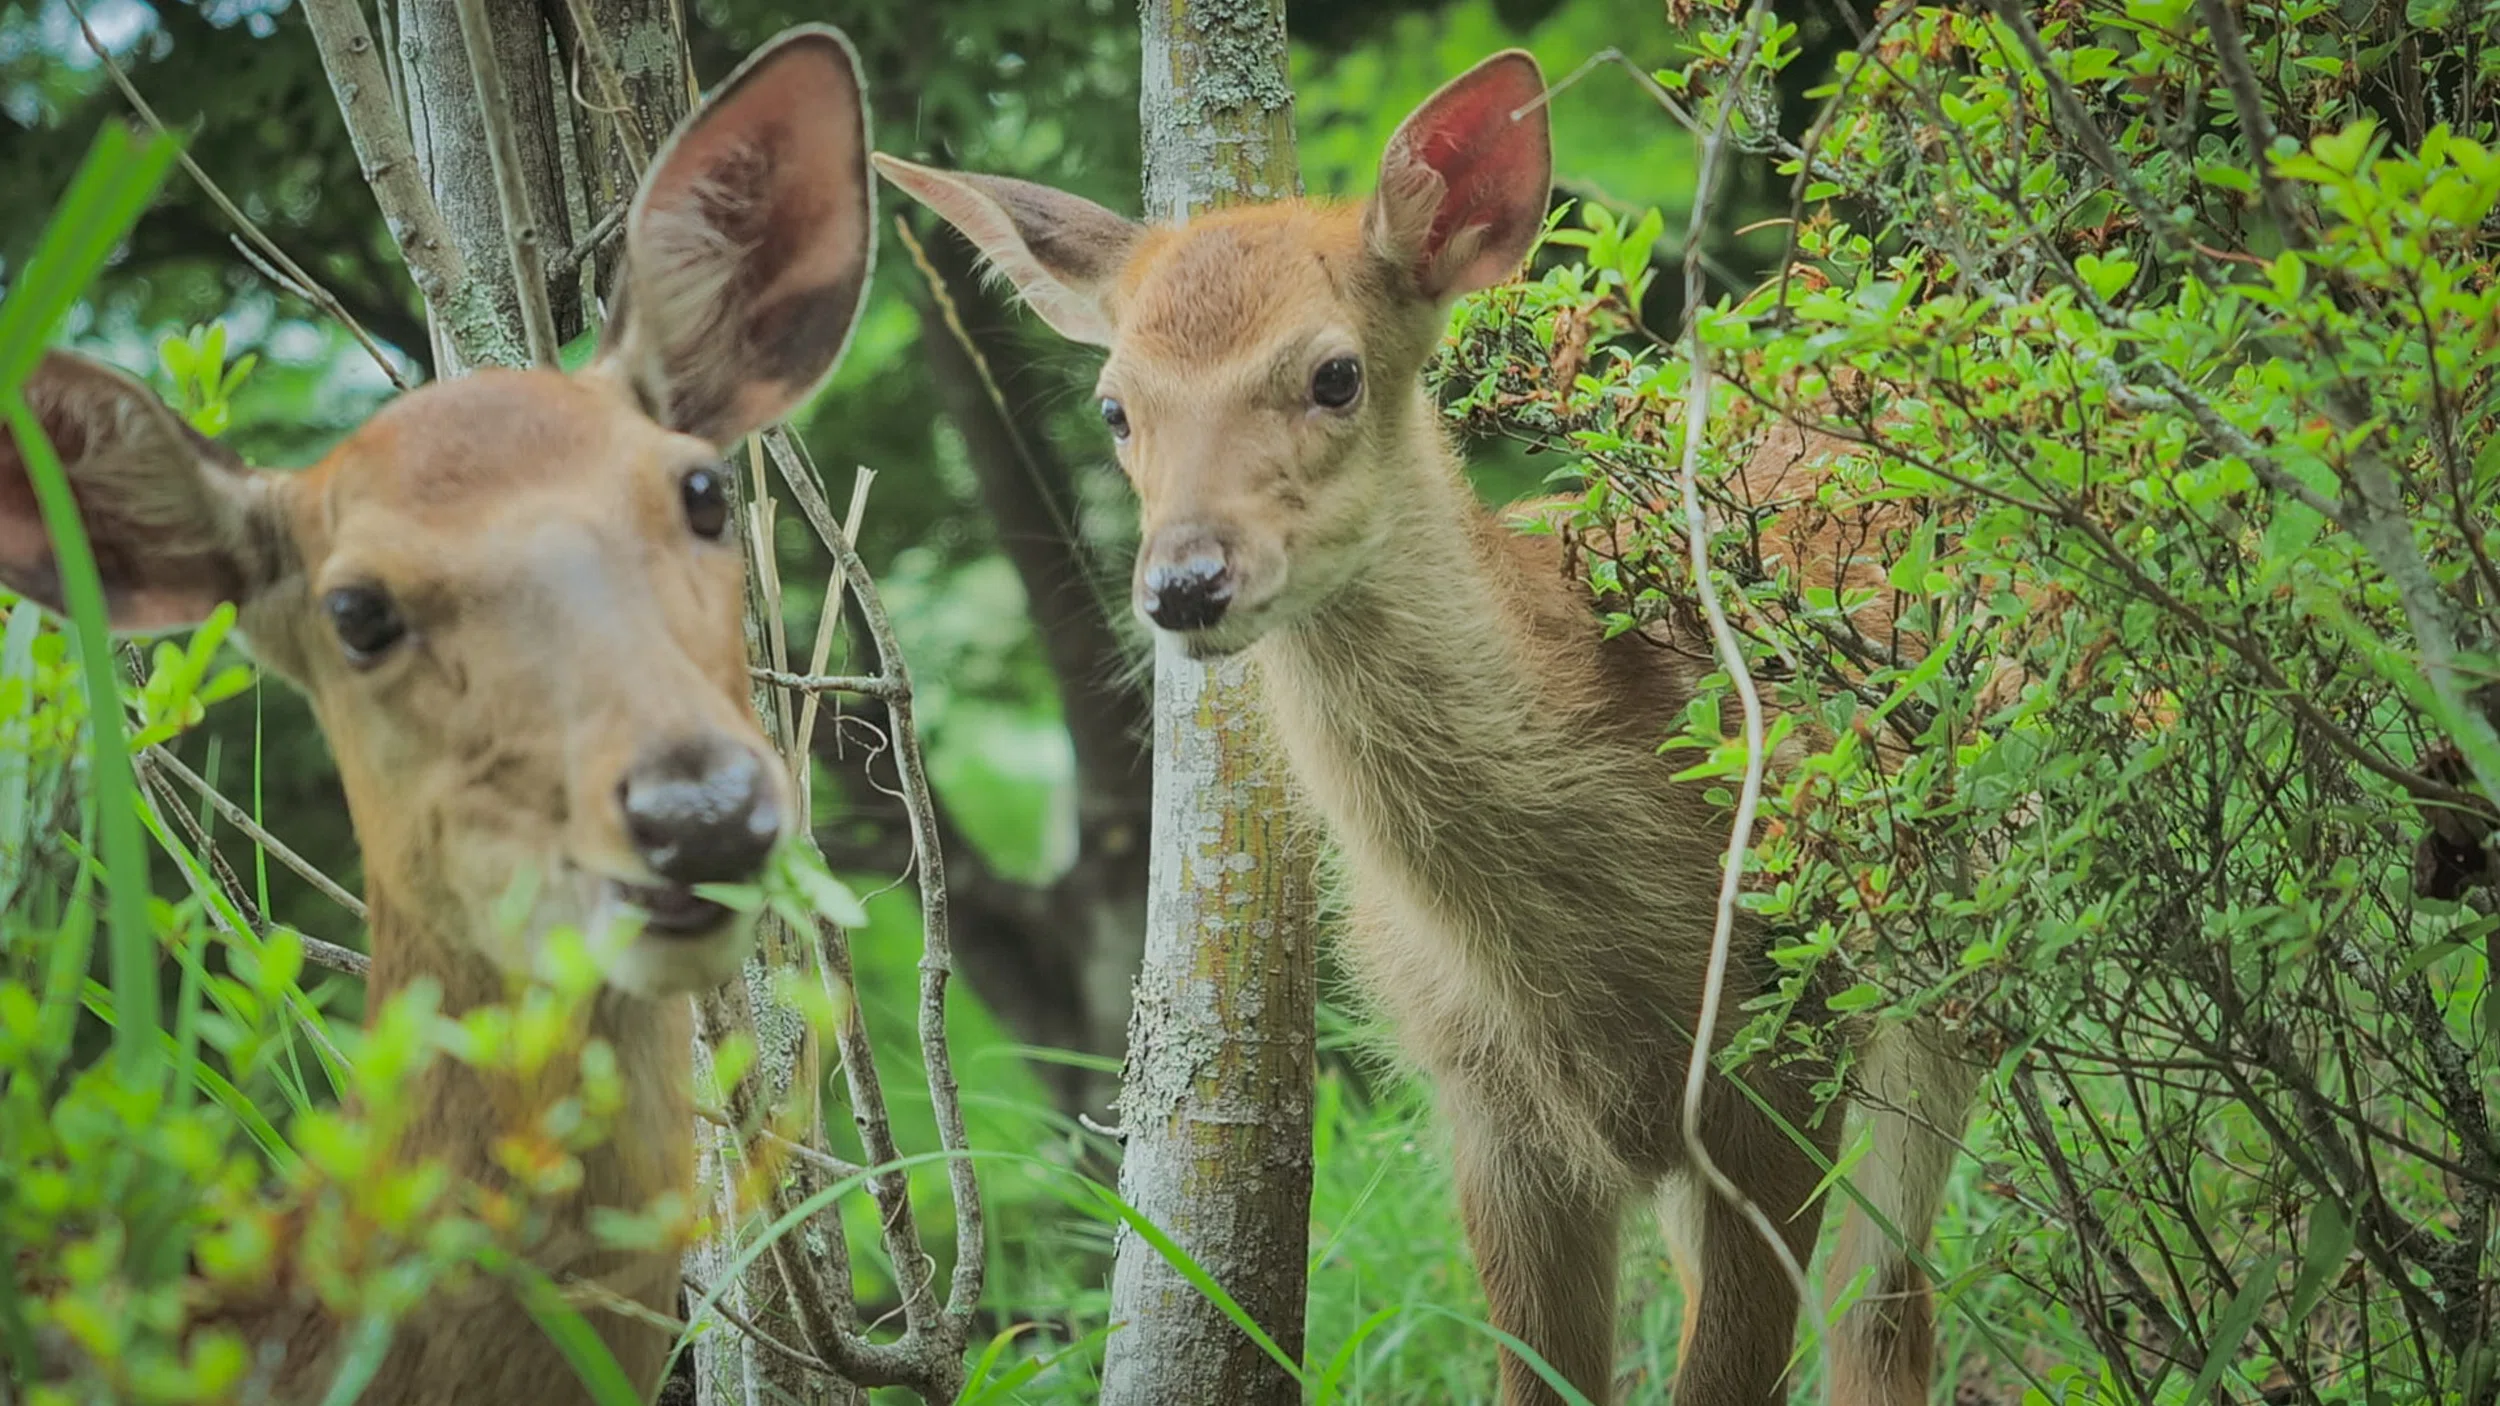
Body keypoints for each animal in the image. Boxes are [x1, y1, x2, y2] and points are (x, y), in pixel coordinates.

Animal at [876, 49, 1977, 1406]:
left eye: (1334, 373)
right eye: (1113, 408)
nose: (1185, 582)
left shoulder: (1784, 1041)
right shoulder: (1487, 1107)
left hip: (1940, 992)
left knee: (1886, 1311)